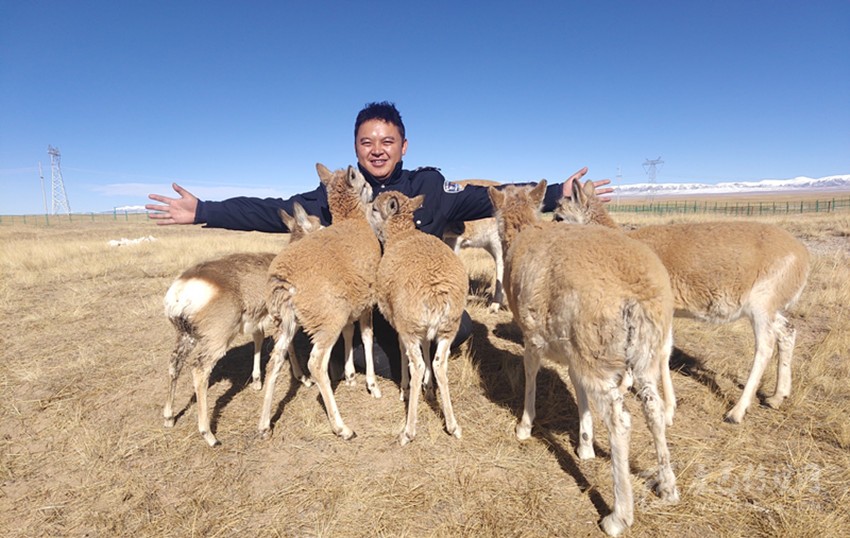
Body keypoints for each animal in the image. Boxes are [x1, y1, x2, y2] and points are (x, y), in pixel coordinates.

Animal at [162, 203, 322, 447]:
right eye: (320, 223)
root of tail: (183, 287)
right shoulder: (287, 322)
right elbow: (286, 352)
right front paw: (302, 379)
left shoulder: (260, 322)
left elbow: (261, 342)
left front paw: (257, 380)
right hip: (217, 341)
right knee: (199, 370)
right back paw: (209, 435)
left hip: (185, 336)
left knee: (174, 364)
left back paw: (169, 417)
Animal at [259, 163, 382, 440]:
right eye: (364, 182)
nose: (373, 191)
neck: (353, 222)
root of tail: (286, 278)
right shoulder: (366, 303)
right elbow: (367, 337)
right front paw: (371, 384)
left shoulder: (350, 306)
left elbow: (349, 334)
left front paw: (350, 375)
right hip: (326, 322)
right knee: (316, 364)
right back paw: (342, 427)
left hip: (286, 323)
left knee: (275, 360)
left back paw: (263, 425)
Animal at [369, 191, 467, 445]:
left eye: (374, 209)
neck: (401, 234)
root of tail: (436, 292)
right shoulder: (423, 330)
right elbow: (426, 347)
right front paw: (429, 388)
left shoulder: (401, 325)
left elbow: (402, 352)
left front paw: (404, 389)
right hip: (448, 328)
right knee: (439, 364)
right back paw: (453, 425)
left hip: (410, 326)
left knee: (418, 365)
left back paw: (408, 430)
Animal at [489, 181, 678, 537]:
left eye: (560, 216)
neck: (525, 231)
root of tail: (637, 294)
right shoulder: (574, 354)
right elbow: (579, 392)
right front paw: (586, 445)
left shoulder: (533, 337)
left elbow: (531, 375)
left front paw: (524, 426)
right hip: (639, 355)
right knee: (654, 409)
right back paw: (668, 487)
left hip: (598, 353)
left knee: (621, 422)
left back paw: (618, 517)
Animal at [555, 179, 811, 423]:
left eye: (559, 216)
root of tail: (801, 253)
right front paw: (623, 386)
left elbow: (661, 353)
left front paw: (668, 410)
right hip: (770, 311)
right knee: (788, 331)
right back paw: (777, 397)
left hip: (760, 309)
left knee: (765, 347)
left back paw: (736, 412)